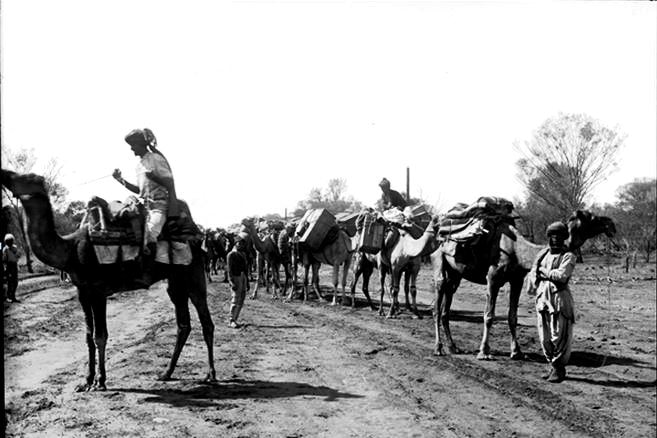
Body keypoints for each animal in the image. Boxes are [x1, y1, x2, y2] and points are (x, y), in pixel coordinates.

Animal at [1, 170, 217, 390]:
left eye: (27, 178)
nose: (5, 174)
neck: (70, 250)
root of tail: (197, 236)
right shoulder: (83, 292)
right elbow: (88, 336)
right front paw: (86, 381)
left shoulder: (98, 290)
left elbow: (100, 336)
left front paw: (100, 381)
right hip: (175, 281)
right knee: (183, 324)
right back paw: (166, 373)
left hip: (193, 273)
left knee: (206, 321)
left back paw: (210, 375)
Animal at [430, 209, 616, 360]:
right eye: (591, 217)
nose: (611, 225)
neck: (516, 251)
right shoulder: (492, 279)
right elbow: (489, 316)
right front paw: (484, 352)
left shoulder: (517, 281)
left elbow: (513, 317)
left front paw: (517, 352)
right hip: (439, 263)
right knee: (437, 308)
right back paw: (438, 348)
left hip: (455, 275)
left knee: (446, 307)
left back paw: (453, 347)